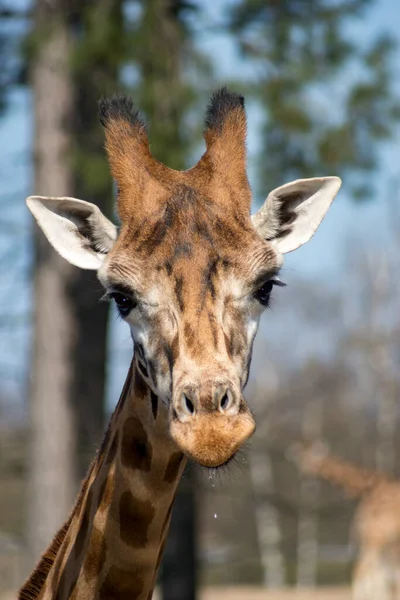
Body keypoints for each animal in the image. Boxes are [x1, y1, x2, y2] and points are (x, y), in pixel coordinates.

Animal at [294, 442, 400, 596]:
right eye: (300, 456)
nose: (302, 471)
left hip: (375, 540)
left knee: (363, 571)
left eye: (311, 457)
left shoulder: (383, 540)